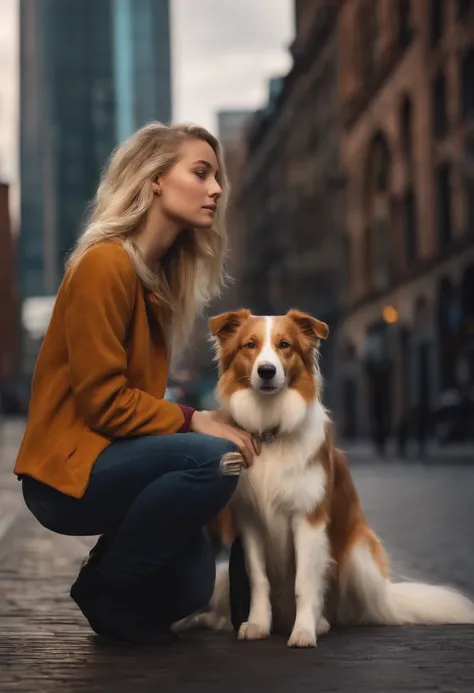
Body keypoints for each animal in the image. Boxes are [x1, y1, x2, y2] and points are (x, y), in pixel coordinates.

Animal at [177, 308, 474, 644]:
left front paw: (305, 630)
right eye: (249, 345)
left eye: (285, 345)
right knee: (218, 613)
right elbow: (258, 580)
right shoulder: (250, 522)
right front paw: (257, 625)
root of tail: (386, 598)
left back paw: (321, 622)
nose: (266, 371)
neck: (271, 428)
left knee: (347, 610)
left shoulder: (308, 519)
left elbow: (305, 583)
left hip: (358, 558)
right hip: (225, 575)